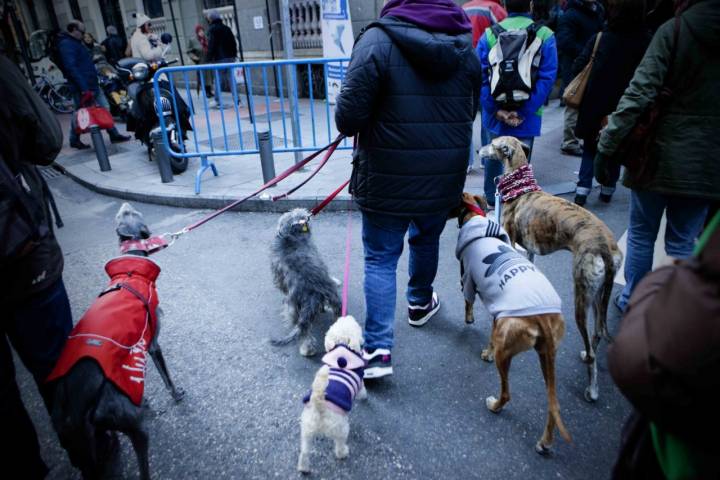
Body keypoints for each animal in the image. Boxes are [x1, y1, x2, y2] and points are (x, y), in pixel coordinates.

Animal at [46, 203, 184, 480]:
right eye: (130, 214)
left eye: (123, 215)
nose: (125, 204)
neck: (131, 268)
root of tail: (73, 404)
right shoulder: (152, 343)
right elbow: (167, 377)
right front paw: (176, 394)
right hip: (133, 426)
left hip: (77, 440)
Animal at [268, 209, 342, 356]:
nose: (308, 214)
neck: (289, 236)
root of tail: (314, 289)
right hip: (333, 298)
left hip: (293, 307)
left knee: (303, 331)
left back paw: (306, 349)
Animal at [296, 316, 366, 472]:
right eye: (358, 327)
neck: (342, 348)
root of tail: (319, 404)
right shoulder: (360, 381)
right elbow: (363, 391)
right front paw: (365, 398)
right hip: (341, 428)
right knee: (339, 444)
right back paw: (343, 453)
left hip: (307, 429)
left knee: (305, 451)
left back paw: (304, 468)